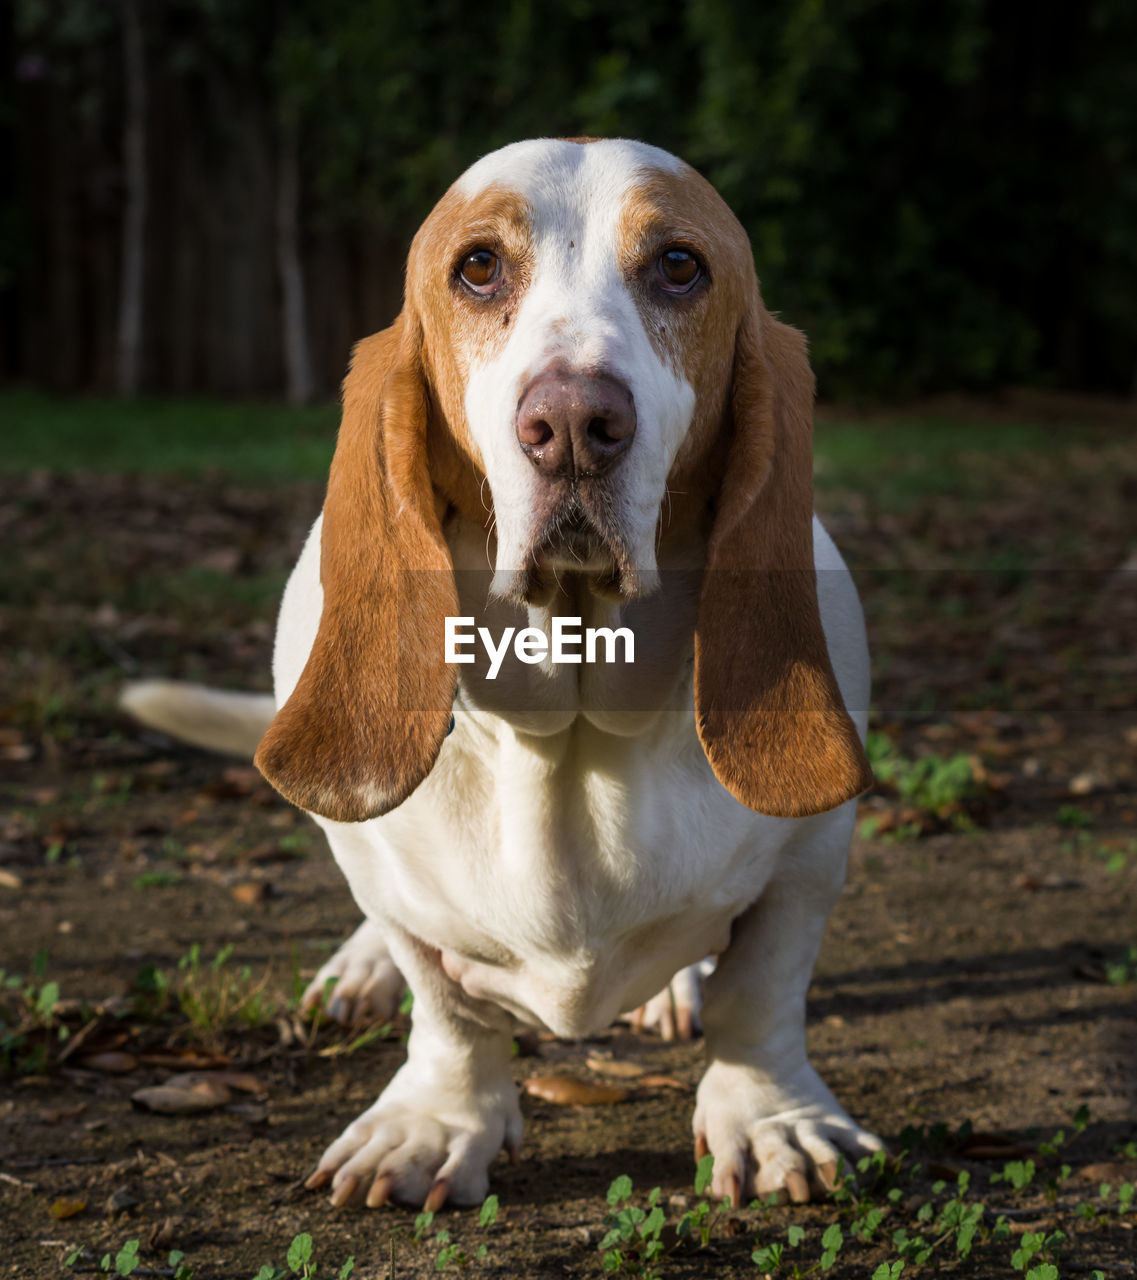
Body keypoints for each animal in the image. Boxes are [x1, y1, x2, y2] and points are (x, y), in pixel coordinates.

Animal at [122, 135, 880, 1213]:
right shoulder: (389, 882)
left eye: (679, 266)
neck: (573, 719)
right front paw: (436, 1123)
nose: (572, 421)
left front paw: (774, 1116)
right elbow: (445, 1005)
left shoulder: (810, 857)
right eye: (477, 267)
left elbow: (761, 991)